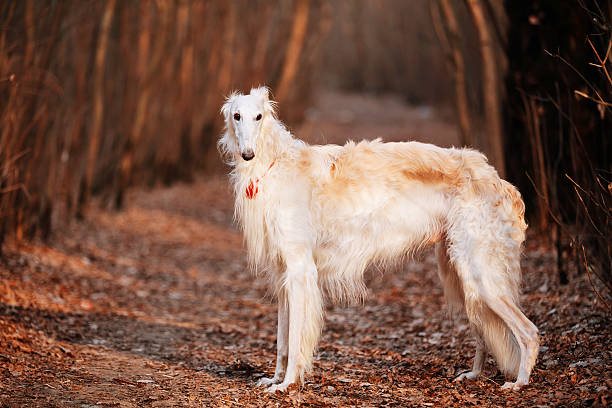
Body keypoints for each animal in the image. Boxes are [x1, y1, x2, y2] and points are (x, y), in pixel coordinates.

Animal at [218, 87, 536, 392]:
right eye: (237, 116)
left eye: (259, 116)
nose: (248, 154)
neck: (274, 165)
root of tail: (500, 181)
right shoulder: (284, 274)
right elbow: (282, 341)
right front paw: (275, 379)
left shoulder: (299, 270)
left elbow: (295, 340)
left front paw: (287, 384)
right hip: (460, 273)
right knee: (485, 333)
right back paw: (474, 374)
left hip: (480, 275)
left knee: (529, 332)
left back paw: (519, 382)